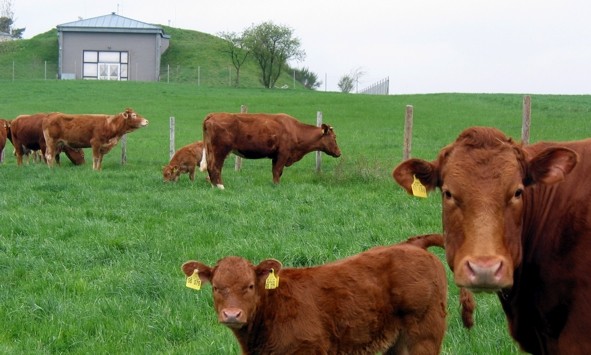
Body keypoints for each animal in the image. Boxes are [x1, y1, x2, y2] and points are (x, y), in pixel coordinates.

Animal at [200, 112, 342, 189]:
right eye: (334, 137)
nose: (339, 153)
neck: (295, 130)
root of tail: (213, 115)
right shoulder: (283, 154)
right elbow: (277, 171)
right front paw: (277, 186)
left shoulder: (275, 156)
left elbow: (275, 172)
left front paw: (274, 185)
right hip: (220, 150)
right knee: (216, 167)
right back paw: (220, 186)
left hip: (211, 150)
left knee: (210, 167)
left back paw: (214, 186)